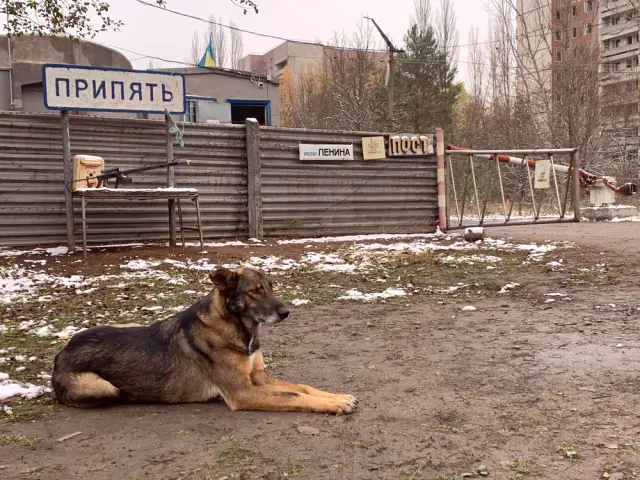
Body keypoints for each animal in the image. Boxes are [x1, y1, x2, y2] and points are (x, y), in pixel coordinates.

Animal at [52, 264, 358, 414]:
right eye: (255, 291)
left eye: (271, 287)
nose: (286, 313)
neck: (238, 328)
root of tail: (61, 353)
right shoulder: (243, 392)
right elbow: (294, 395)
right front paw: (333, 405)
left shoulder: (259, 379)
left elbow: (302, 387)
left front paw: (336, 396)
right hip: (101, 386)